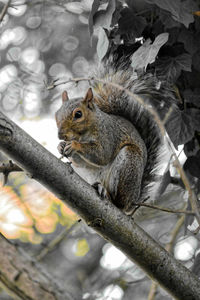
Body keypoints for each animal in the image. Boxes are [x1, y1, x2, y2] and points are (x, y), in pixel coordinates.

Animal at [54, 58, 177, 214]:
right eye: (56, 114)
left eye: (78, 114)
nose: (60, 135)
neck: (84, 134)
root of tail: (133, 201)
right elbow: (79, 163)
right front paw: (60, 146)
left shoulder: (108, 135)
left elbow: (102, 155)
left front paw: (75, 145)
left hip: (128, 163)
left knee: (119, 202)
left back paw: (108, 195)